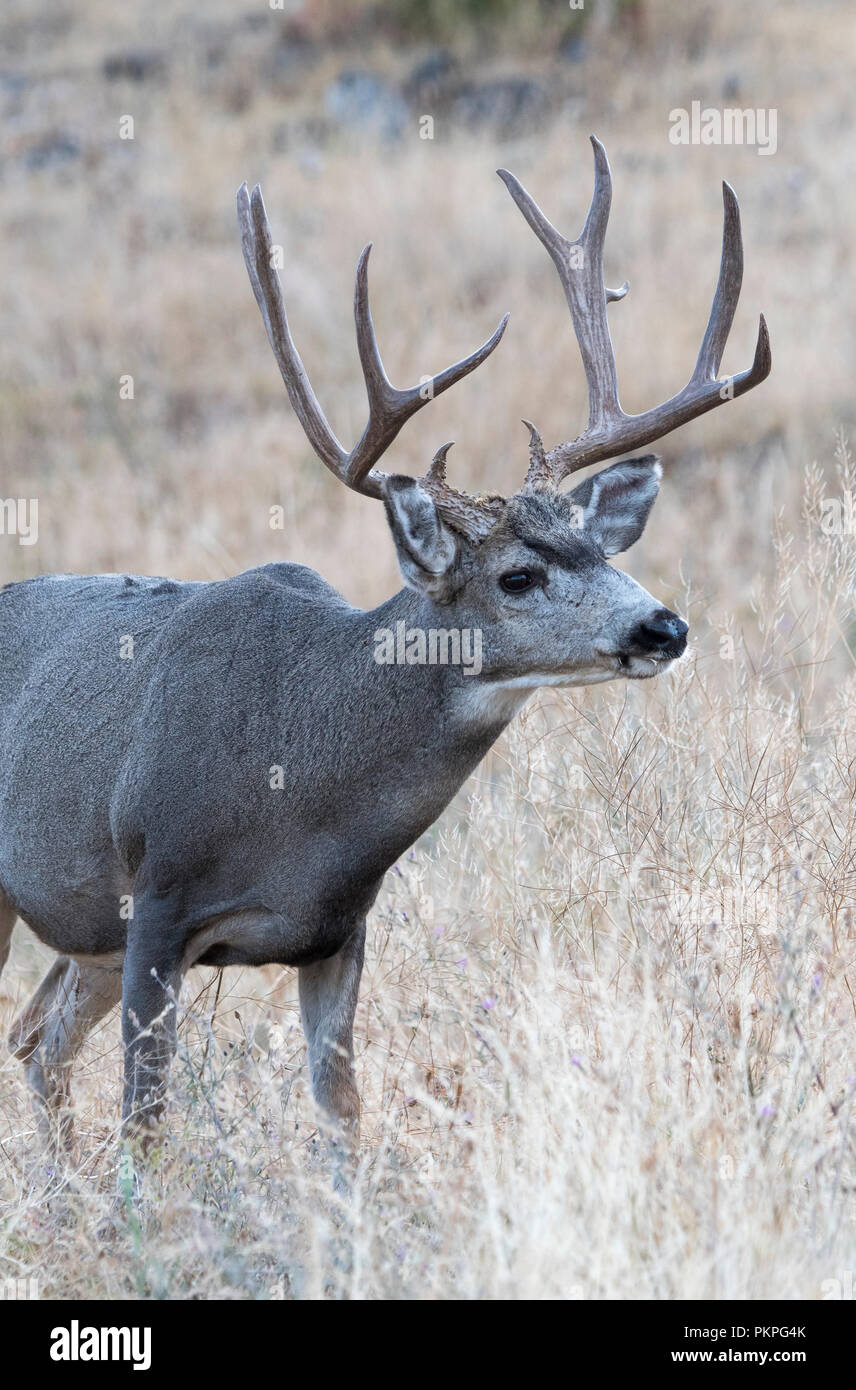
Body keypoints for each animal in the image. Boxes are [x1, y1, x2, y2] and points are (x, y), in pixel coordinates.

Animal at [0, 139, 770, 1174]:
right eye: (518, 575)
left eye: (603, 551)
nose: (664, 627)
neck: (300, 774)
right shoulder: (155, 898)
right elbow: (148, 1119)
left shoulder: (339, 929)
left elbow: (342, 1113)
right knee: (40, 1042)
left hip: (82, 934)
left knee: (37, 1041)